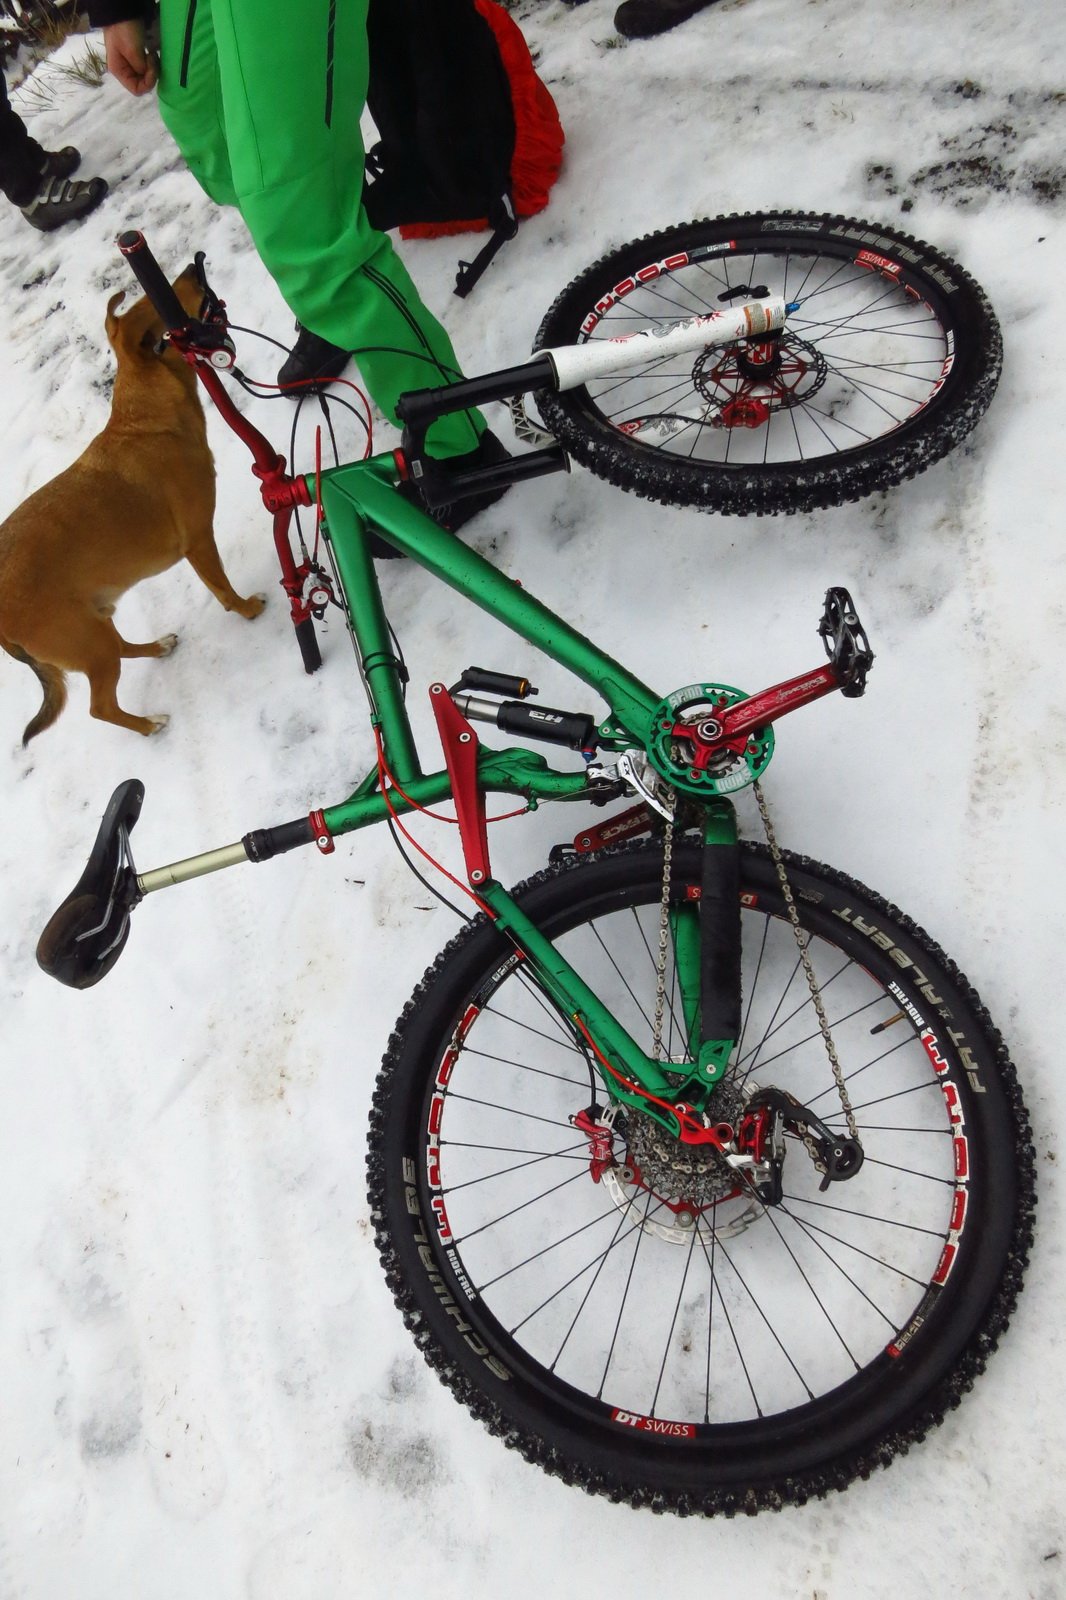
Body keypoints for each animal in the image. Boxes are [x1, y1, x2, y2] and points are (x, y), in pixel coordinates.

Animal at [0, 268, 264, 743]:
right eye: (166, 301)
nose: (195, 267)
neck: (143, 417)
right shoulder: (199, 541)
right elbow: (224, 591)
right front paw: (248, 610)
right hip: (88, 642)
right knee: (99, 707)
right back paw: (148, 724)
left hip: (96, 626)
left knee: (121, 647)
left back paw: (157, 647)